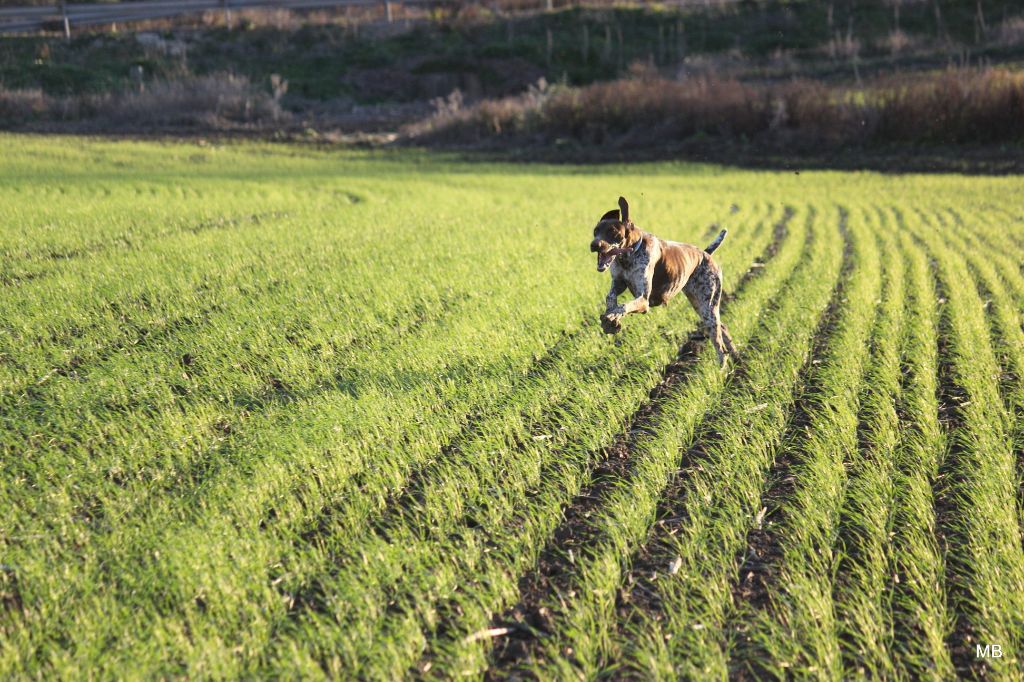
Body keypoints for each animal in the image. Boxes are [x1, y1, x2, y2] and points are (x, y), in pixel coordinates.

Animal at [593, 196, 737, 366]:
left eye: (613, 231)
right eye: (595, 231)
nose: (594, 245)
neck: (629, 255)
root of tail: (706, 253)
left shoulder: (643, 301)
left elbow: (623, 306)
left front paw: (613, 316)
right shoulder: (619, 282)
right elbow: (610, 297)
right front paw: (611, 318)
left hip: (708, 308)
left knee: (720, 348)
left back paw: (722, 370)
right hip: (701, 307)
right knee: (723, 328)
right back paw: (737, 357)